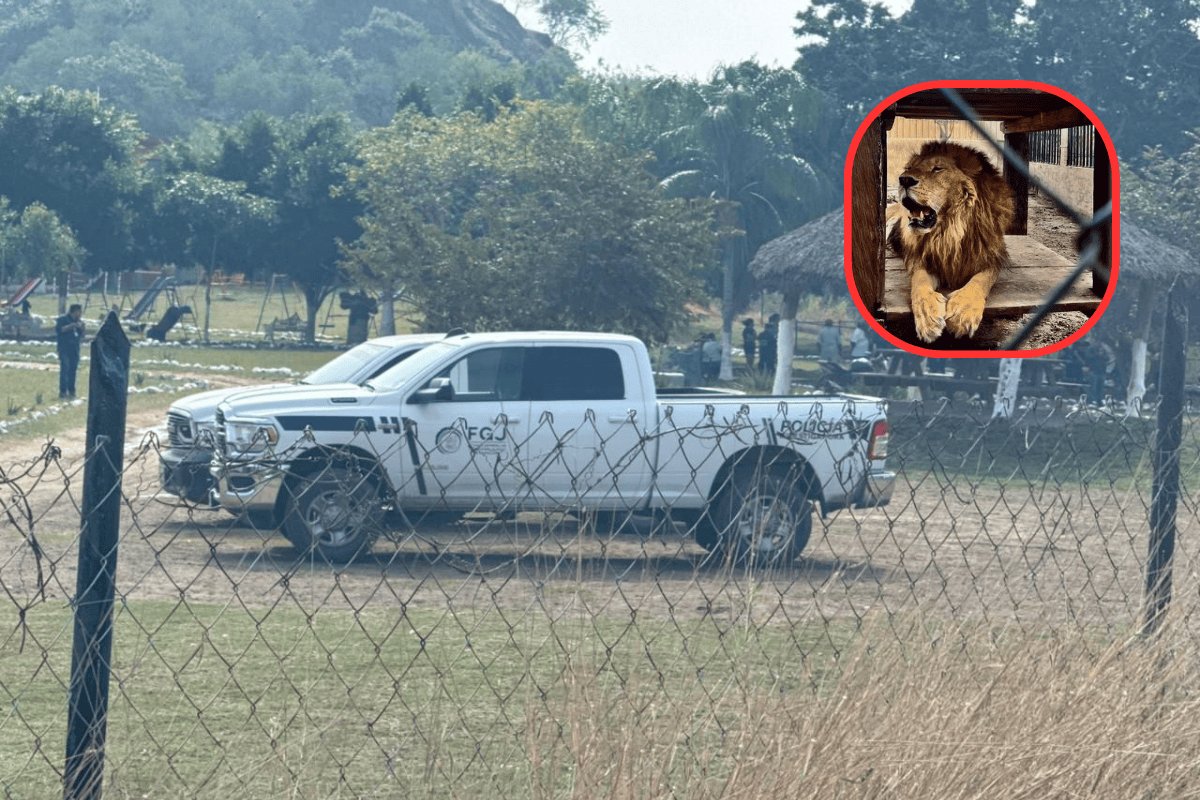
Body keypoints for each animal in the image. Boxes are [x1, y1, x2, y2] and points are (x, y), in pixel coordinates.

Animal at [888, 142, 1017, 343]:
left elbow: (980, 281)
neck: (949, 232)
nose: (904, 180)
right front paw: (927, 315)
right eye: (908, 168)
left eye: (938, 168)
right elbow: (919, 282)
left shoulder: (992, 258)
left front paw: (963, 312)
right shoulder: (921, 259)